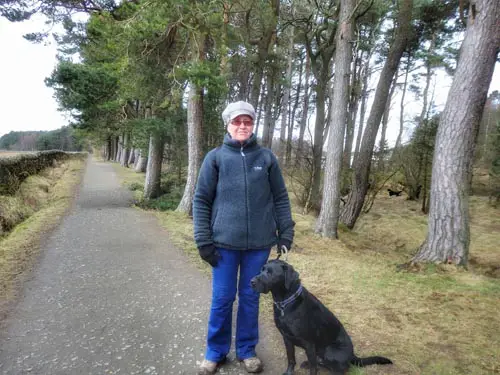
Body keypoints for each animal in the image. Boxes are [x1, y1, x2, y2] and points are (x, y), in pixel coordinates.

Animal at [252, 262, 392, 375]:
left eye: (270, 273)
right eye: (261, 270)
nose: (251, 281)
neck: (285, 303)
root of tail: (353, 355)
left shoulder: (309, 343)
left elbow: (313, 369)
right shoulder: (286, 338)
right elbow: (291, 359)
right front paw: (288, 372)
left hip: (329, 351)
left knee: (341, 368)